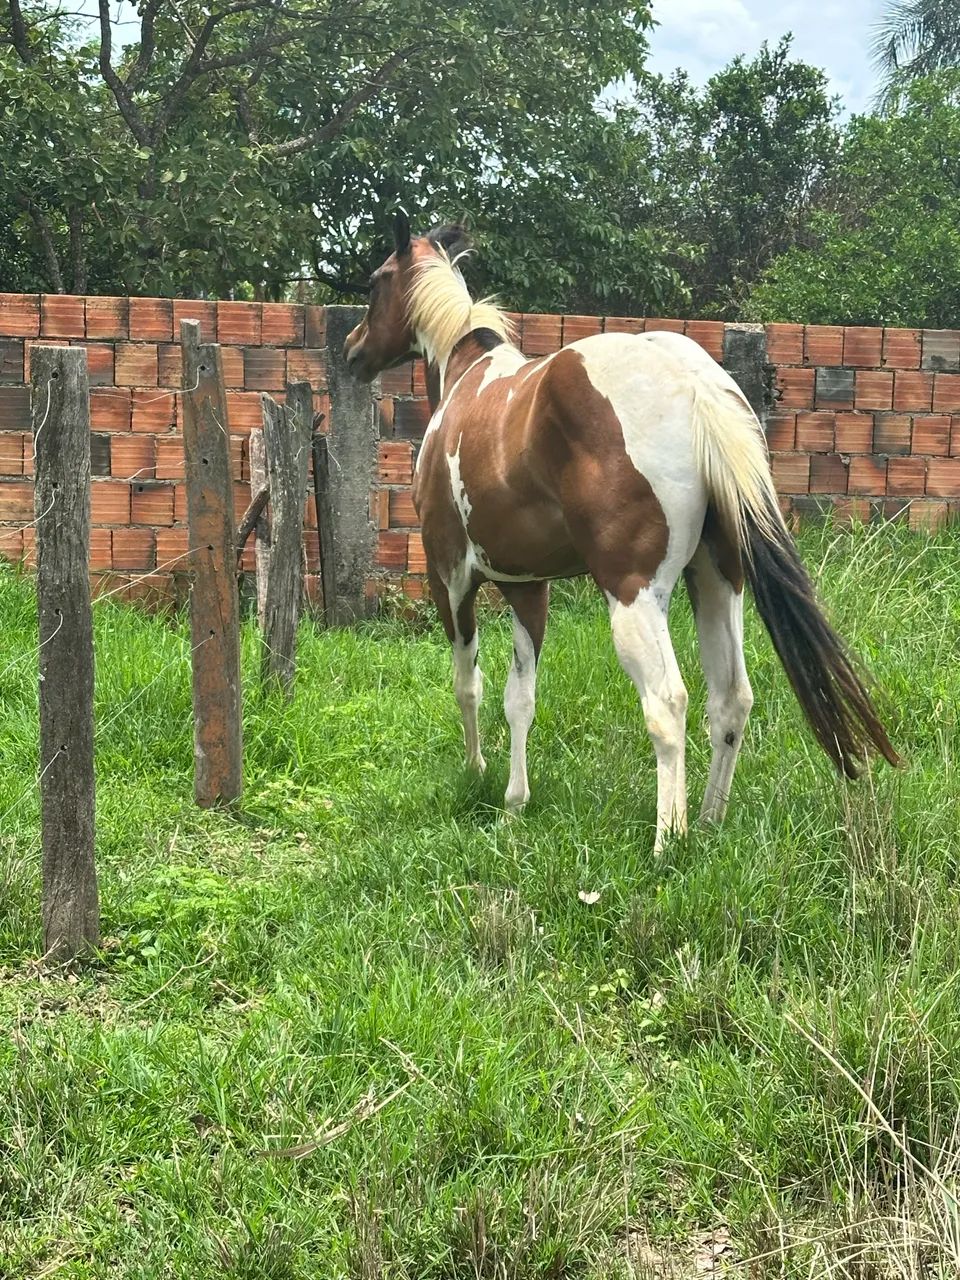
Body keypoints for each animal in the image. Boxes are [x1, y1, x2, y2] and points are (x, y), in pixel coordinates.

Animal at [344, 213, 898, 851]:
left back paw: (669, 840)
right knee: (730, 699)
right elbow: (520, 698)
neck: (468, 381)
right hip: (717, 583)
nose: (351, 350)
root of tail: (694, 383)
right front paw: (514, 804)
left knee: (668, 703)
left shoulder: (452, 580)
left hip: (633, 596)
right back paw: (708, 822)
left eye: (374, 283)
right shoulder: (527, 588)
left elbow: (470, 684)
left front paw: (477, 773)